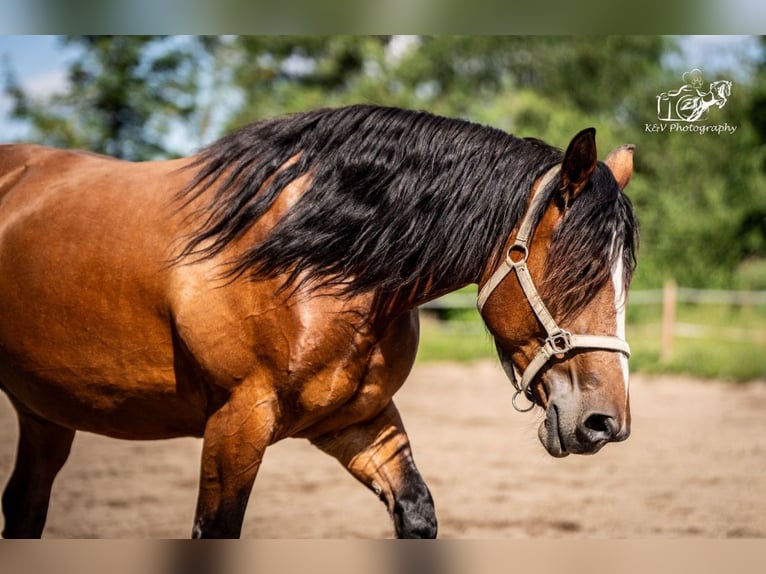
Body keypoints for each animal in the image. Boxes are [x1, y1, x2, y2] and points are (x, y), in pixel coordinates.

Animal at [0, 104, 640, 540]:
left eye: (624, 274)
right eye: (575, 269)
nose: (604, 423)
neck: (316, 261)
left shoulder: (358, 422)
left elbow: (416, 511)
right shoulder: (236, 424)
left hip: (45, 412)